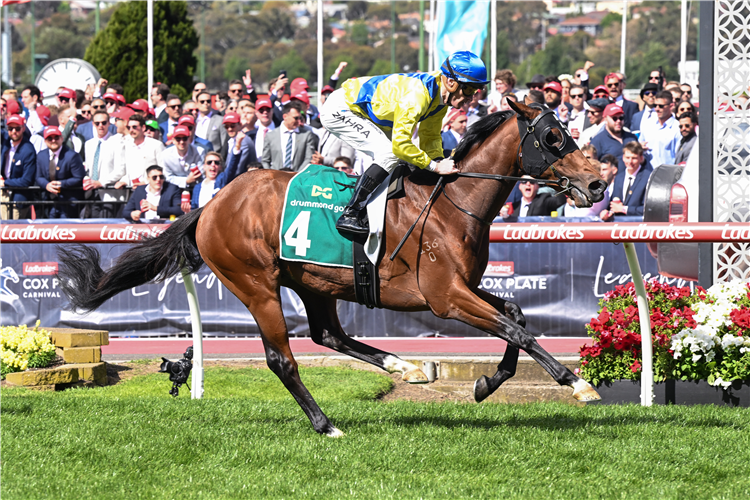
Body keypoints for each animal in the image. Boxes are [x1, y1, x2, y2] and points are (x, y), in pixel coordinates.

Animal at [57, 99, 612, 436]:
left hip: (315, 281)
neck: (454, 204)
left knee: (328, 334)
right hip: (256, 283)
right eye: (554, 136)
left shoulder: (464, 288)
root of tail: (211, 205)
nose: (598, 183)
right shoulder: (445, 297)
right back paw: (325, 423)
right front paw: (578, 384)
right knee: (283, 358)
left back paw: (406, 367)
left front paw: (487, 382)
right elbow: (516, 329)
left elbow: (515, 314)